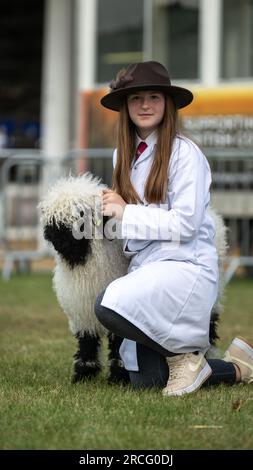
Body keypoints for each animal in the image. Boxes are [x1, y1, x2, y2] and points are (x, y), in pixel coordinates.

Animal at [39, 173, 227, 386]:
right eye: (53, 219)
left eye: (81, 213)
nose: (58, 240)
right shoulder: (81, 310)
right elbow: (87, 341)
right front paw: (83, 374)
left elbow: (118, 340)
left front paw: (119, 376)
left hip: (213, 295)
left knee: (208, 323)